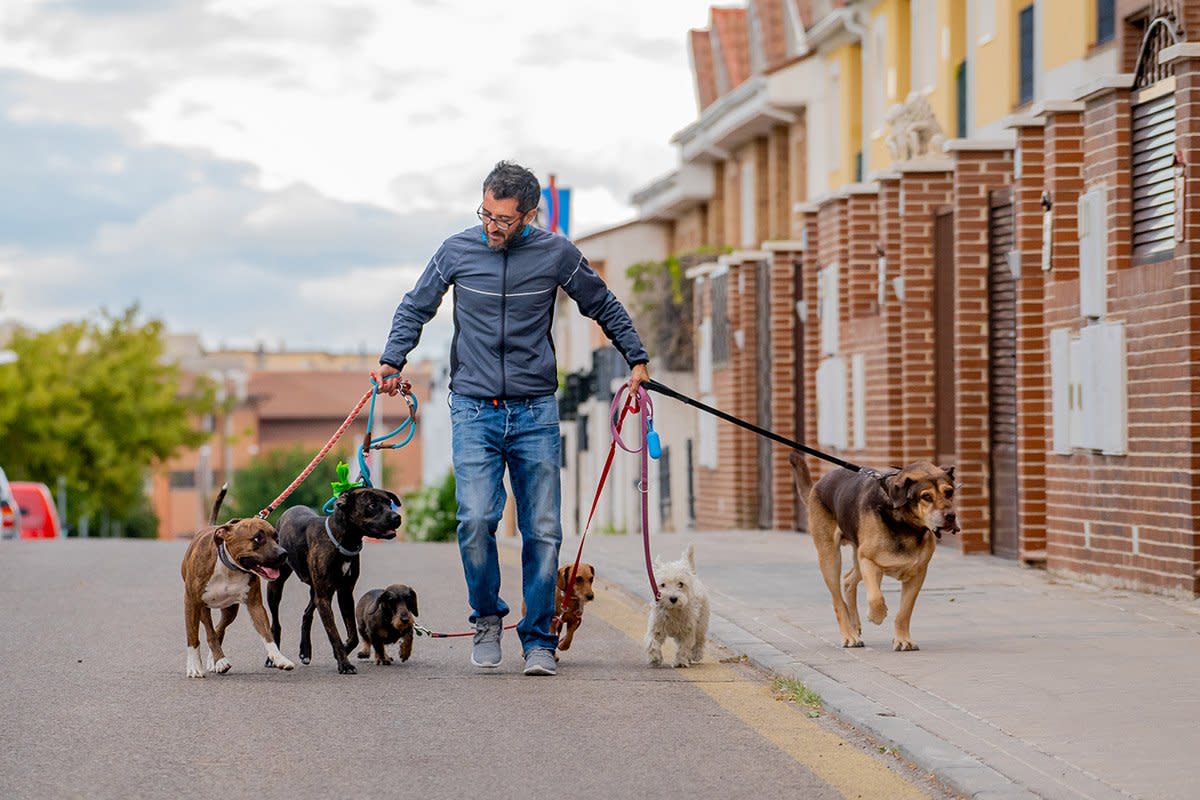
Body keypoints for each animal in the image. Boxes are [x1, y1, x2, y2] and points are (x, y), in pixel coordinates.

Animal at [180, 496, 297, 681]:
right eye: (257, 539)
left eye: (276, 538)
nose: (283, 553)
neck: (229, 567)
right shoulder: (191, 603)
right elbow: (193, 637)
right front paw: (194, 667)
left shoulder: (255, 606)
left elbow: (267, 635)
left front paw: (279, 658)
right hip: (202, 608)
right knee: (210, 632)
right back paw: (219, 660)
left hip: (230, 610)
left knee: (218, 629)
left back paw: (216, 660)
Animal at [267, 489, 403, 676]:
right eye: (372, 505)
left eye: (389, 503)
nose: (397, 517)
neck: (342, 540)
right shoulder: (325, 597)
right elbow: (334, 634)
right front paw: (344, 664)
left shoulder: (344, 593)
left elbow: (353, 636)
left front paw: (343, 652)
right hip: (276, 587)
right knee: (276, 623)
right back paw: (272, 658)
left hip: (317, 591)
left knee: (307, 614)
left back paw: (305, 651)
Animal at [792, 450, 960, 652]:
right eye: (926, 497)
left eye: (949, 492)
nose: (951, 516)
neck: (905, 524)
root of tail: (818, 485)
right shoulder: (869, 562)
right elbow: (875, 598)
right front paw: (877, 616)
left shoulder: (918, 573)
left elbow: (904, 612)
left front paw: (903, 640)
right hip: (830, 557)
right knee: (838, 600)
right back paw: (849, 635)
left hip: (857, 555)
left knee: (848, 580)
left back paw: (854, 626)